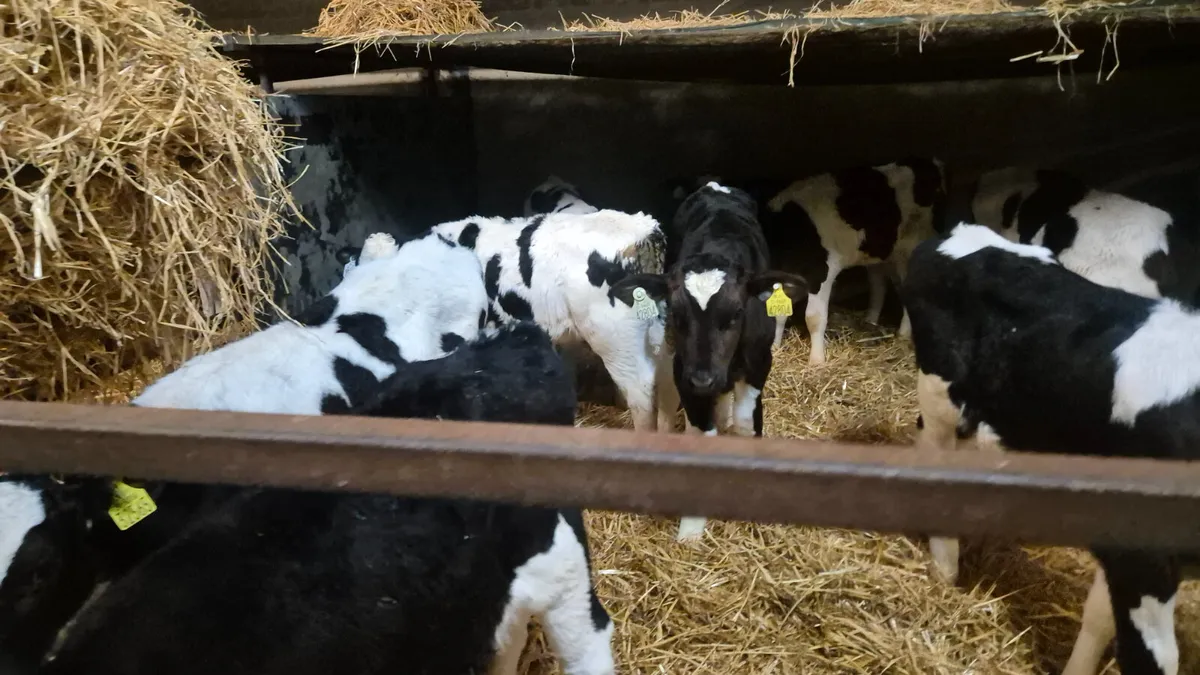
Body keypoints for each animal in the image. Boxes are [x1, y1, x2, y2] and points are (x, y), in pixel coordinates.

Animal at [608, 181, 807, 539]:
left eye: (737, 313)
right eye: (677, 314)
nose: (704, 379)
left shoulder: (759, 364)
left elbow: (745, 424)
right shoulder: (684, 372)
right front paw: (691, 527)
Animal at [765, 158, 947, 363]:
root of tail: (929, 162)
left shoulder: (821, 272)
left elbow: (814, 317)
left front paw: (816, 360)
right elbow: (778, 313)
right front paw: (775, 348)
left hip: (912, 246)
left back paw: (903, 333)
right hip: (879, 251)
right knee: (879, 284)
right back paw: (871, 320)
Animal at [904, 222, 1199, 675]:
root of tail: (964, 231)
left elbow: (1099, 618)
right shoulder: (1143, 554)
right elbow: (1147, 655)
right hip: (940, 393)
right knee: (935, 452)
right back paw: (946, 568)